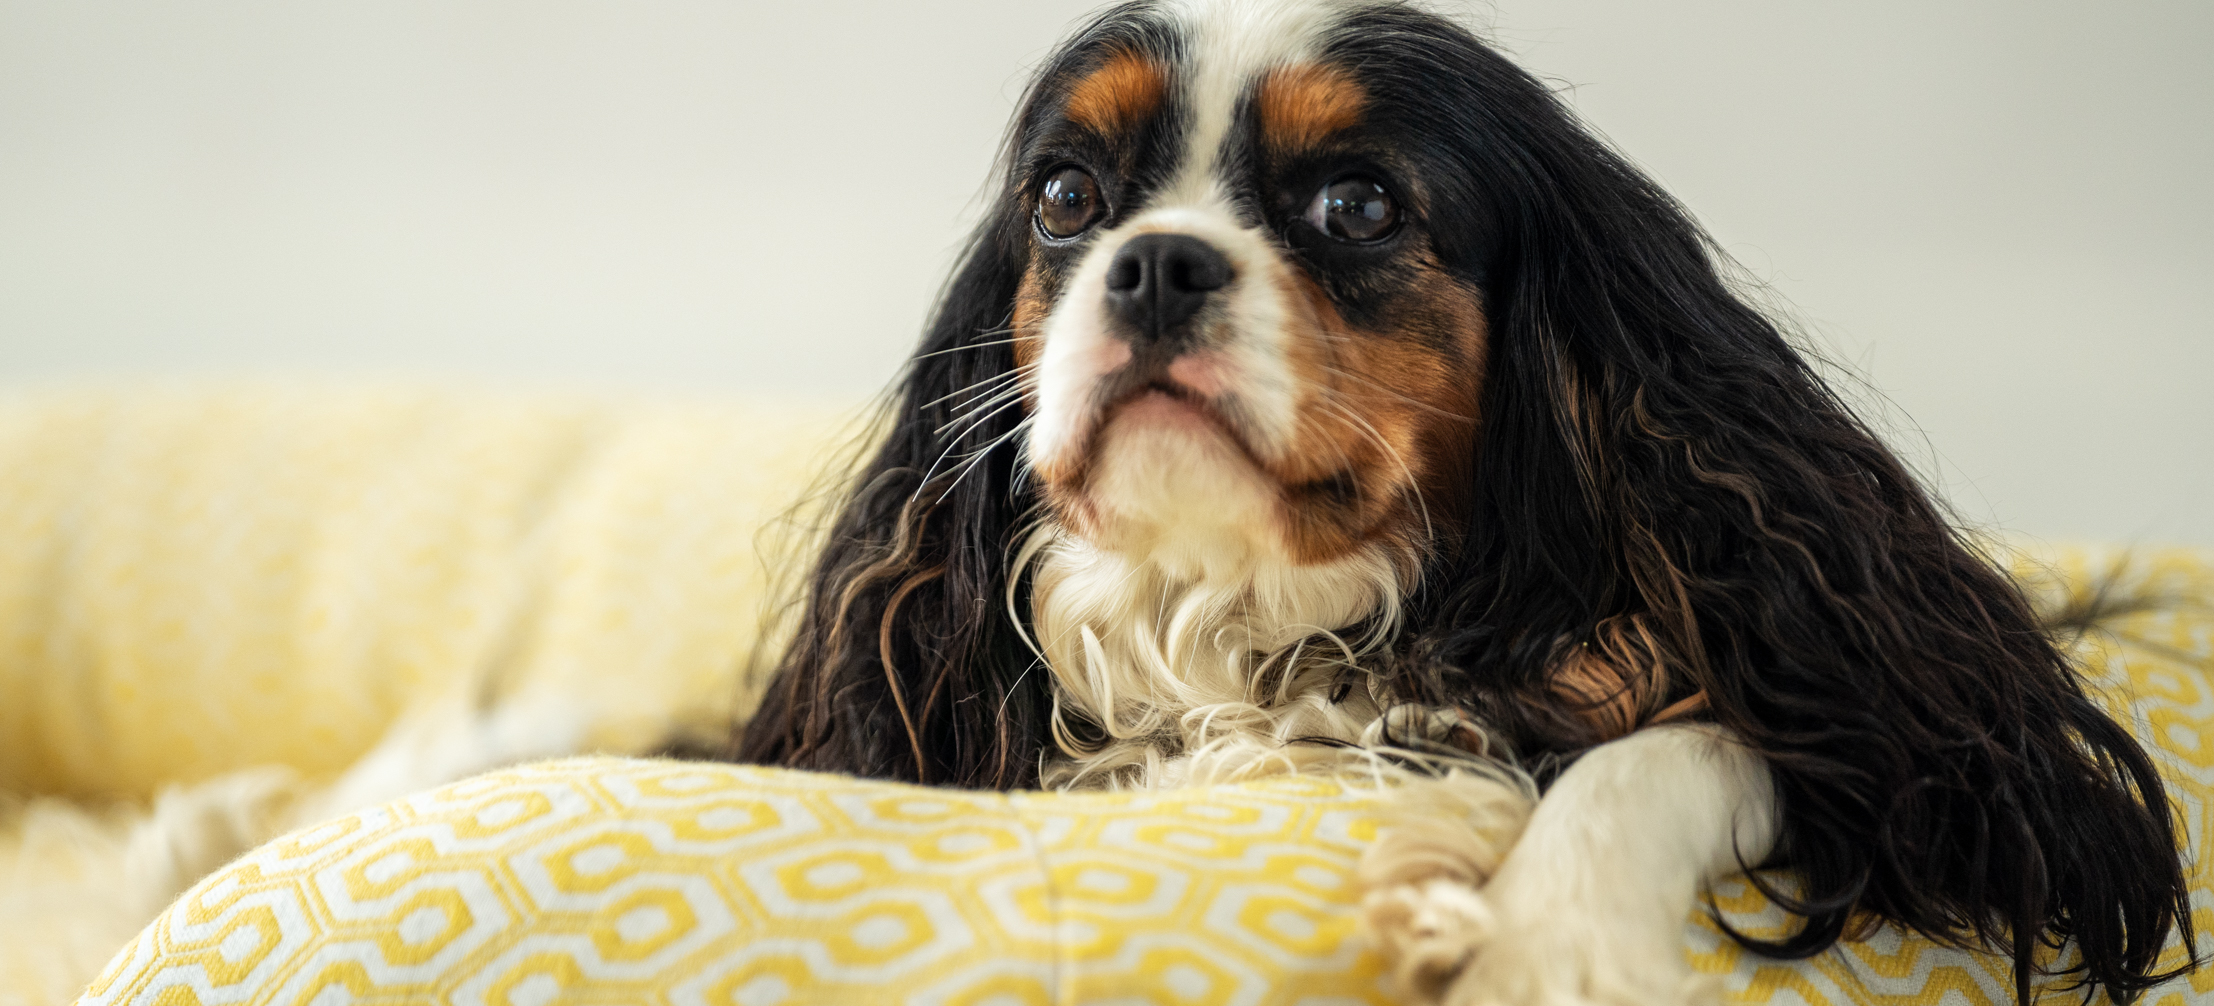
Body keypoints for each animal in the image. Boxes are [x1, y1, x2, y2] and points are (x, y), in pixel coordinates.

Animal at [730, 3, 2196, 1001]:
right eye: (1068, 198)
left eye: (1356, 204)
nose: (1151, 263)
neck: (1243, 615)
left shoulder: (1877, 755)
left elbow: (1666, 753)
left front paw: (1555, 945)